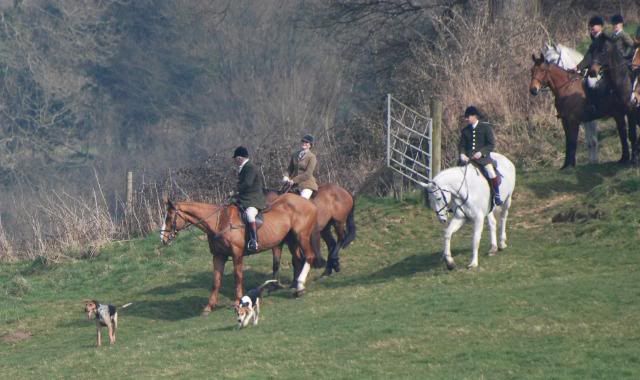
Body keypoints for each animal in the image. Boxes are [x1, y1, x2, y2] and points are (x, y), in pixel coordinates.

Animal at [158, 193, 322, 314]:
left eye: (169, 217)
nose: (163, 238)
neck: (218, 222)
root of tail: (308, 203)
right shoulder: (218, 256)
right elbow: (216, 281)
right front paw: (209, 306)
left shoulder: (236, 255)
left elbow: (238, 278)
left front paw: (237, 302)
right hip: (292, 240)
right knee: (298, 259)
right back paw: (295, 285)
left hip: (301, 236)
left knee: (308, 256)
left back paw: (300, 287)